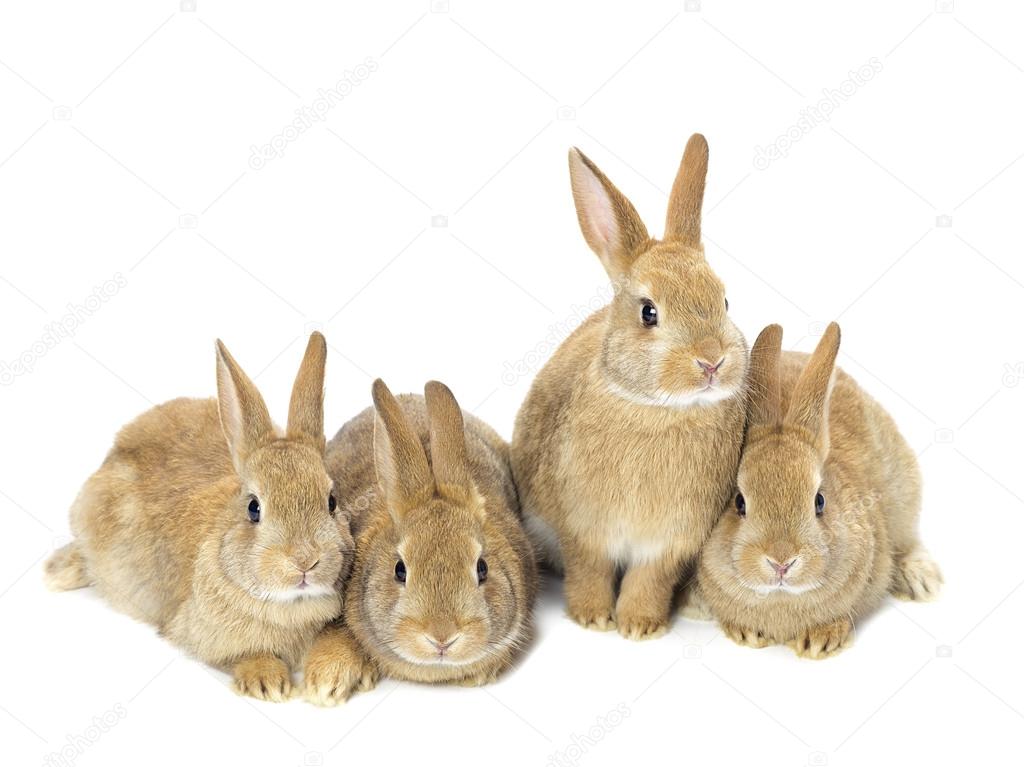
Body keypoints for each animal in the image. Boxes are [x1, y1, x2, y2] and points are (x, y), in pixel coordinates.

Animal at [43, 332, 354, 700]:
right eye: (253, 508)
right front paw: (267, 682)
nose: (304, 561)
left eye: (332, 501)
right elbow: (245, 654)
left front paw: (328, 681)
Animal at [509, 134, 748, 640]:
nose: (712, 361)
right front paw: (594, 618)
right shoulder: (584, 530)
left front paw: (640, 626)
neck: (658, 409)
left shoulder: (670, 543)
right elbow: (590, 571)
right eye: (648, 312)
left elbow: (648, 580)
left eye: (724, 300)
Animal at [697, 323, 942, 659]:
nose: (781, 562)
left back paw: (922, 581)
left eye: (820, 501)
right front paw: (746, 632)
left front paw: (820, 641)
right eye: (739, 502)